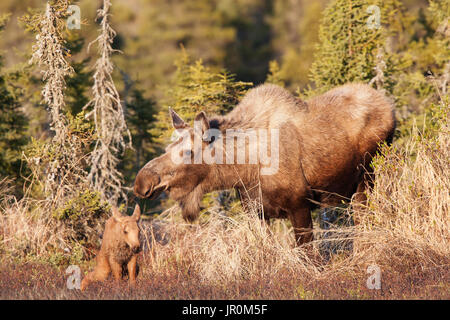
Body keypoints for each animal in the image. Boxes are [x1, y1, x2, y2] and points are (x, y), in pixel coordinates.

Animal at [133, 83, 394, 245]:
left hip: (366, 181)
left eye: (188, 152)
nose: (141, 182)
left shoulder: (299, 205)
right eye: (166, 149)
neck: (244, 169)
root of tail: (391, 110)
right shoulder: (256, 212)